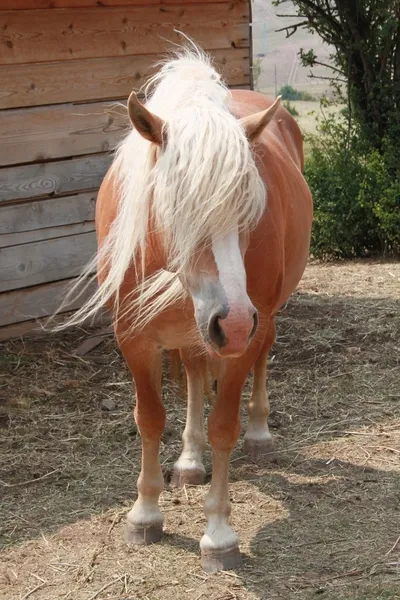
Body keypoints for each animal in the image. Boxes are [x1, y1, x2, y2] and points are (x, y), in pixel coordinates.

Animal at [67, 47, 314, 572]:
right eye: (174, 205)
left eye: (250, 207)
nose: (234, 322)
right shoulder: (134, 337)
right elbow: (150, 417)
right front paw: (144, 514)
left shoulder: (240, 337)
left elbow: (224, 425)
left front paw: (218, 535)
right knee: (197, 372)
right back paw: (188, 460)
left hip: (262, 321)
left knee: (262, 358)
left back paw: (259, 434)